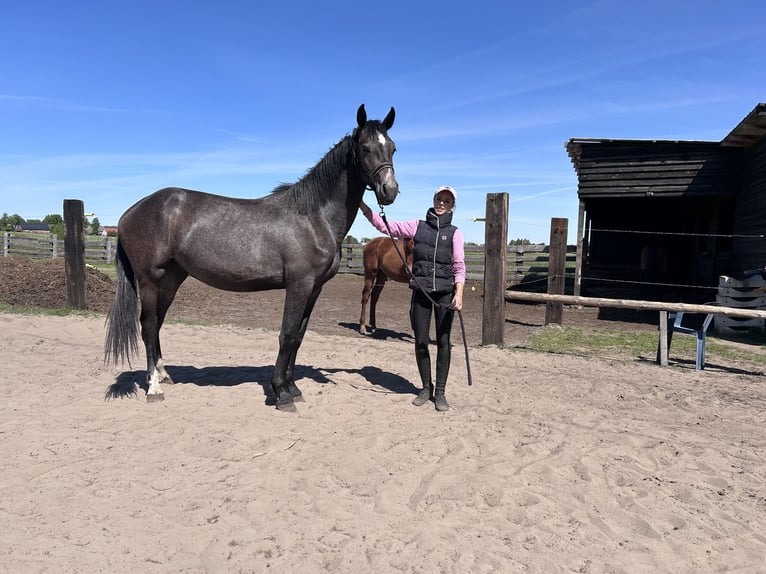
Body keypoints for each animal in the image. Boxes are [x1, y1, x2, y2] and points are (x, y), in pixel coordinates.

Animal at [105, 104, 398, 411]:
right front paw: (281, 392)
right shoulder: (299, 284)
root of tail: (130, 212)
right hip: (149, 278)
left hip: (172, 277)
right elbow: (287, 334)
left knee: (159, 320)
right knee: (149, 325)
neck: (313, 217)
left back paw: (164, 375)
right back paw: (153, 387)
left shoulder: (315, 288)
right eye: (365, 148)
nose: (389, 190)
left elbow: (299, 336)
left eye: (392, 147)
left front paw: (293, 388)